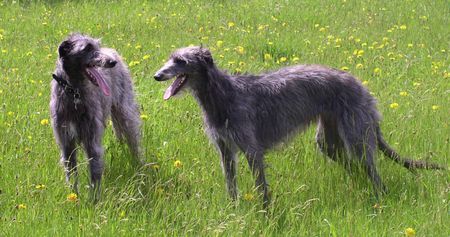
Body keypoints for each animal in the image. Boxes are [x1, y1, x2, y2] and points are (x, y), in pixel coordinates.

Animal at [49, 32, 142, 200]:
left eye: (97, 46)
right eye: (87, 48)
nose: (112, 62)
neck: (74, 93)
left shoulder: (92, 141)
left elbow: (95, 170)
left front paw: (94, 201)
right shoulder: (66, 143)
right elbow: (71, 172)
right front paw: (74, 197)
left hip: (125, 112)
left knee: (133, 139)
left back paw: (140, 165)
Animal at [154, 45, 442, 206]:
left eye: (181, 61)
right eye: (170, 58)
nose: (157, 75)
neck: (222, 94)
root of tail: (362, 87)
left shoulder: (252, 149)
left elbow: (261, 187)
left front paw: (264, 215)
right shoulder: (225, 149)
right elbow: (230, 183)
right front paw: (233, 210)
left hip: (357, 134)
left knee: (370, 169)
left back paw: (379, 199)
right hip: (329, 140)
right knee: (354, 166)